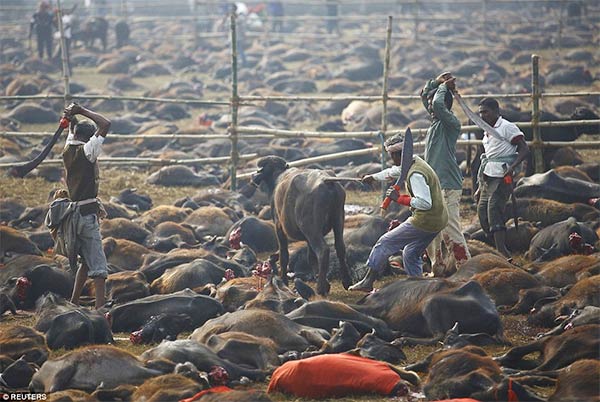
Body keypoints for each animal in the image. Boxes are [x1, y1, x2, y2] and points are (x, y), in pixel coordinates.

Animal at [252, 155, 352, 296]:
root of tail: (326, 181)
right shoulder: (308, 238)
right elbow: (311, 257)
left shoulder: (279, 227)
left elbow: (284, 255)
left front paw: (284, 281)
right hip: (338, 219)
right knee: (340, 248)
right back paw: (346, 281)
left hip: (311, 228)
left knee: (323, 251)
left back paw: (320, 288)